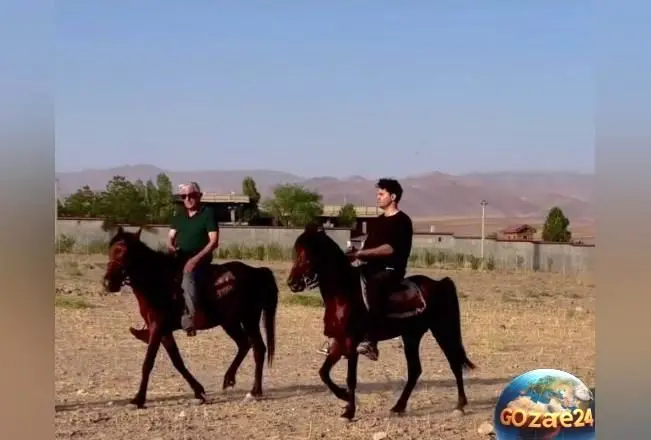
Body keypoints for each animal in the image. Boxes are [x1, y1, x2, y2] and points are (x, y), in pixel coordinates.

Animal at [102, 226, 278, 409]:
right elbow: (177, 361)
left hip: (249, 319)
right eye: (111, 251)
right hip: (230, 322)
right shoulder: (163, 331)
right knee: (244, 344)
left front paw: (139, 399)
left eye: (125, 253)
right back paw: (229, 379)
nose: (108, 283)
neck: (158, 282)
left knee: (258, 348)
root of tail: (256, 272)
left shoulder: (158, 328)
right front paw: (199, 392)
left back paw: (254, 391)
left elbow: (148, 362)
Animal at [286, 224, 476, 420]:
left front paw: (349, 411)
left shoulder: (351, 342)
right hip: (411, 336)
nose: (292, 283)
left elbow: (351, 378)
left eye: (309, 254)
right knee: (415, 370)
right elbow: (323, 373)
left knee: (454, 363)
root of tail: (439, 283)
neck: (343, 295)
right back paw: (399, 406)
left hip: (442, 330)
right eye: (297, 252)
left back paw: (460, 405)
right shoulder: (339, 342)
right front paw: (343, 396)